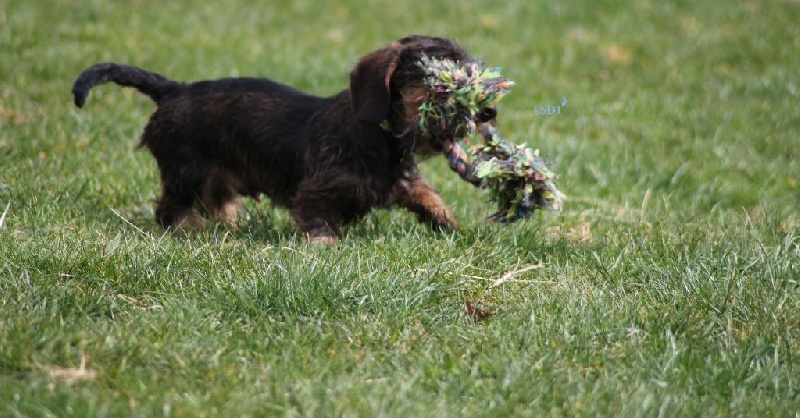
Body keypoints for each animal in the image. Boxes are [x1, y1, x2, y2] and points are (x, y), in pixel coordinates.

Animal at [72, 36, 496, 245]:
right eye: (441, 80)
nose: (488, 114)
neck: (380, 136)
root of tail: (174, 90)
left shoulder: (402, 180)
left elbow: (428, 195)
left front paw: (453, 227)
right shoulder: (315, 191)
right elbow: (318, 221)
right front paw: (325, 248)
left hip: (214, 175)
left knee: (216, 201)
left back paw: (230, 225)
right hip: (186, 171)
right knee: (170, 209)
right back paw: (192, 230)